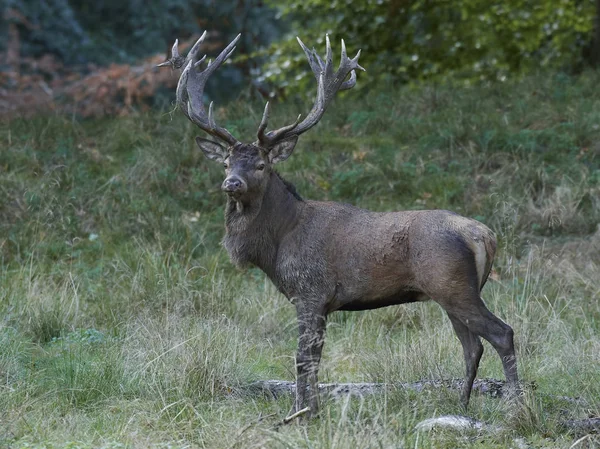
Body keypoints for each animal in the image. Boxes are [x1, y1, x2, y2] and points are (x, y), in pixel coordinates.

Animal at [159, 30, 520, 416]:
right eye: (226, 163)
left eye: (261, 165)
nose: (232, 184)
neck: (278, 244)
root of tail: (486, 235)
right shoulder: (317, 300)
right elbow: (314, 358)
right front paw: (313, 410)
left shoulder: (310, 291)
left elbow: (302, 358)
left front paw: (300, 413)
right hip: (449, 292)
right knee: (472, 345)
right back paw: (461, 405)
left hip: (454, 285)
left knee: (502, 333)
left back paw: (518, 404)